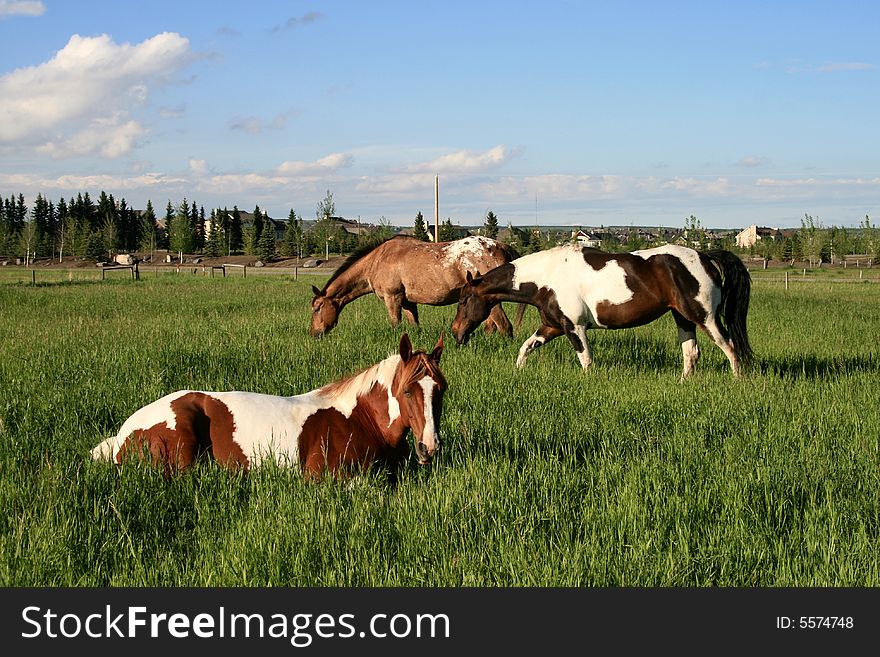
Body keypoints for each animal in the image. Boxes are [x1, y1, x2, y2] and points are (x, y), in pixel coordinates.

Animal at [310, 234, 520, 338]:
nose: (313, 333)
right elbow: (414, 325)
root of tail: (502, 246)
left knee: (504, 327)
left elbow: (395, 323)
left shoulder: (392, 297)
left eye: (317, 308)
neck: (377, 260)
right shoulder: (408, 302)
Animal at [450, 245, 752, 380]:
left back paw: (738, 379)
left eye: (463, 301)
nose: (455, 332)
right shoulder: (552, 326)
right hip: (683, 318)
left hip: (705, 317)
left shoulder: (574, 328)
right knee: (691, 353)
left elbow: (586, 361)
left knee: (729, 345)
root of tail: (705, 256)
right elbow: (526, 347)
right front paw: (519, 372)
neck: (546, 278)